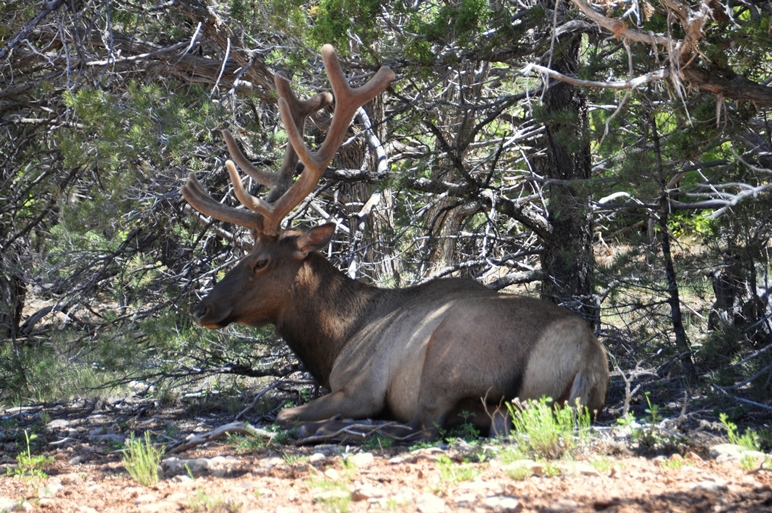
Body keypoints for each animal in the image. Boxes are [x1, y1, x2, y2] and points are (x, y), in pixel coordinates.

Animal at [181, 44, 608, 438]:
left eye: (261, 262)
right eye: (246, 253)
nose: (202, 308)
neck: (336, 338)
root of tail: (584, 356)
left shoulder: (360, 386)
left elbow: (285, 412)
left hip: (445, 357)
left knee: (423, 426)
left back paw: (332, 429)